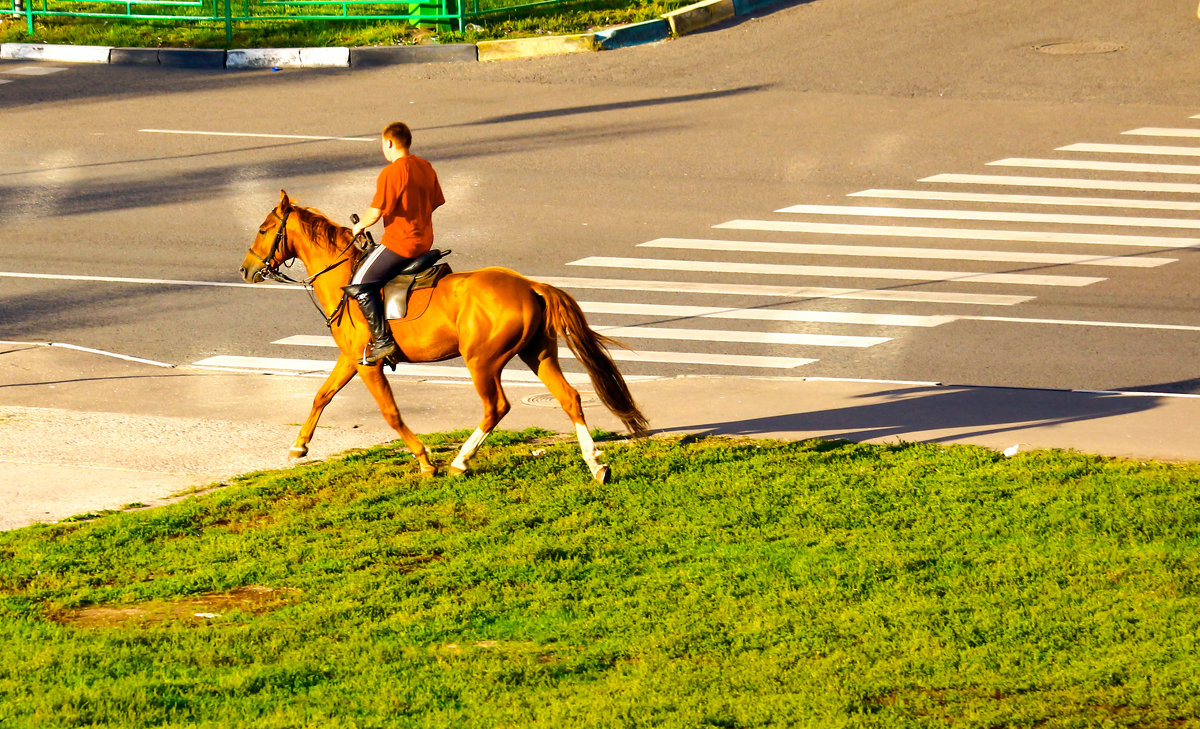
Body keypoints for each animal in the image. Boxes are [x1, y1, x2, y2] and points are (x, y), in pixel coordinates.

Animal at [240, 190, 652, 482]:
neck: (347, 280)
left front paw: (425, 461)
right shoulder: (351, 359)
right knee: (569, 398)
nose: (245, 270)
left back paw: (460, 462)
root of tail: (530, 286)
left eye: (262, 230)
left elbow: (391, 414)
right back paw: (596, 464)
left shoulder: (369, 366)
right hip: (538, 355)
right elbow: (321, 395)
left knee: (496, 407)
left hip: (482, 362)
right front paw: (298, 447)